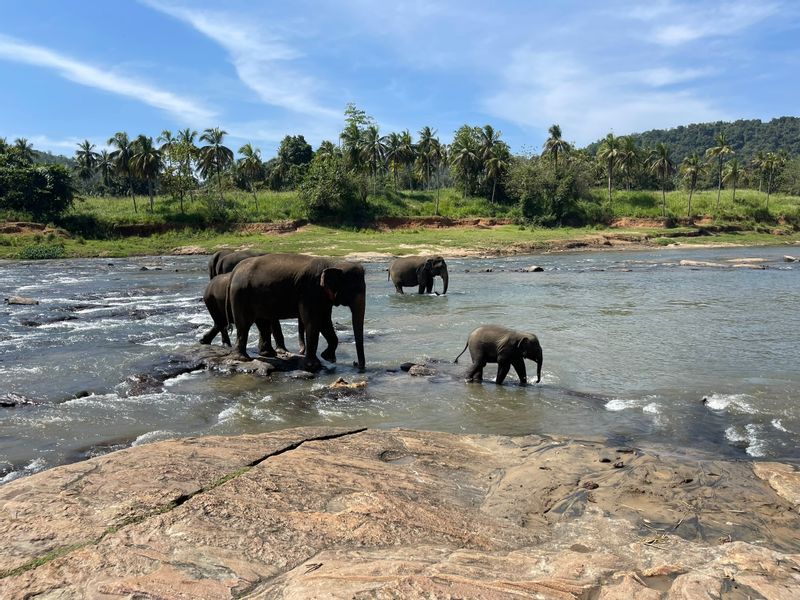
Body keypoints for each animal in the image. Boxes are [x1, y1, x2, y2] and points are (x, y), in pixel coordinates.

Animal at [227, 253, 368, 370]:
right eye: (354, 289)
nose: (356, 364)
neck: (333, 262)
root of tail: (235, 270)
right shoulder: (310, 291)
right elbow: (313, 321)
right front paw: (313, 366)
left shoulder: (323, 297)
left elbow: (325, 321)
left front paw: (328, 358)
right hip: (240, 294)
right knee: (244, 325)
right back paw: (242, 358)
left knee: (262, 323)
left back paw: (268, 354)